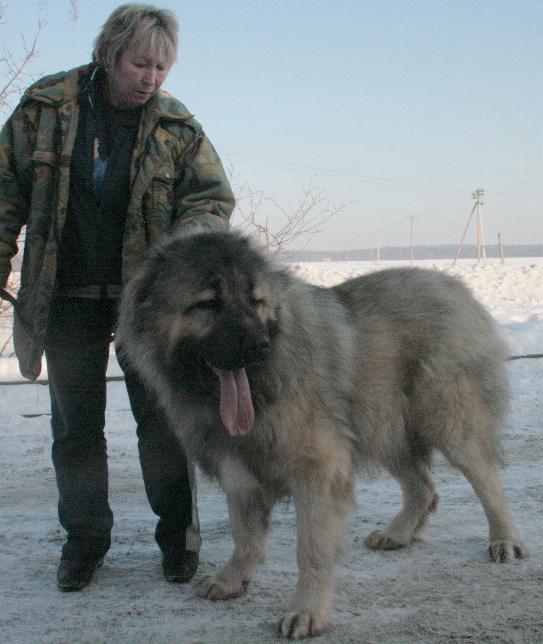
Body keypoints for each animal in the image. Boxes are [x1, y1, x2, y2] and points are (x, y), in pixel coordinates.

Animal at [116, 230, 528, 640]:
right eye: (207, 303)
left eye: (254, 301)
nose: (259, 346)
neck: (261, 387)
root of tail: (454, 286)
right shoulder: (239, 470)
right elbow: (244, 535)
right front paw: (233, 579)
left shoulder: (318, 472)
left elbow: (311, 550)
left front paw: (308, 611)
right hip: (382, 425)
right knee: (423, 488)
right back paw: (397, 534)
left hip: (448, 423)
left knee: (487, 482)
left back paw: (504, 540)